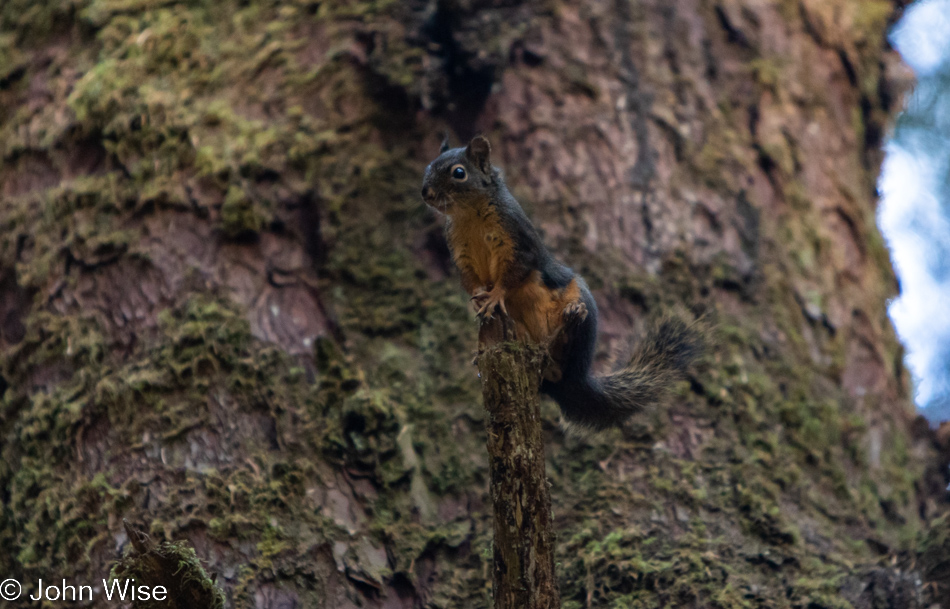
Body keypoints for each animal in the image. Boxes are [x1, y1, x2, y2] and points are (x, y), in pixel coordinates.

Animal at [422, 137, 700, 432]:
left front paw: (495, 296)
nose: (425, 193)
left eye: (459, 172)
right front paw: (478, 298)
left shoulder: (519, 242)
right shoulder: (460, 252)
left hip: (579, 313)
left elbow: (513, 275)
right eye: (428, 167)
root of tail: (572, 383)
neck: (470, 215)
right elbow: (470, 281)